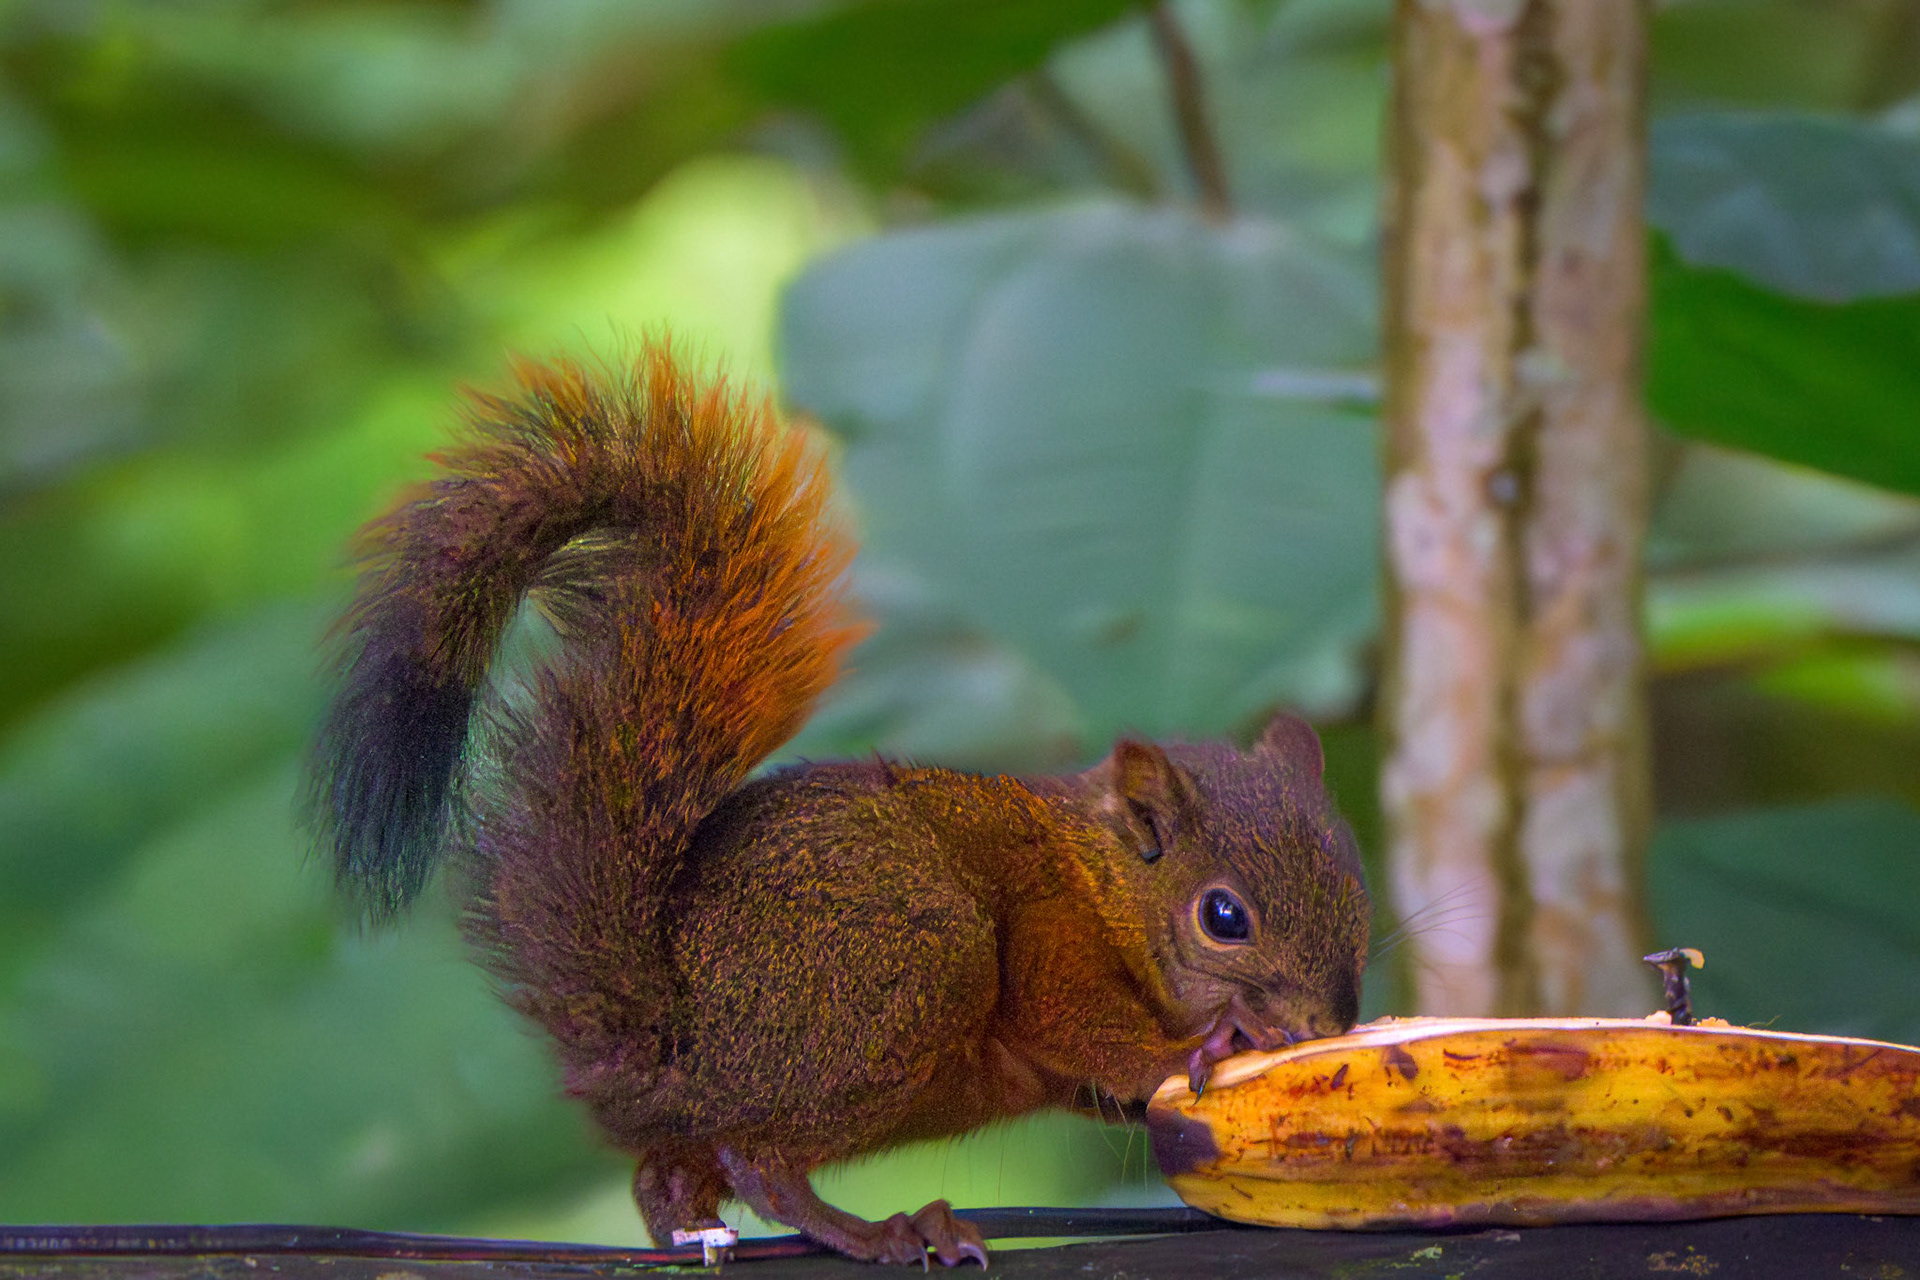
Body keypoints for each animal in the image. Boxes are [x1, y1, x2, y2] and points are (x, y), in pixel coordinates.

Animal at [307, 344, 1371, 1267]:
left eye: (1359, 896)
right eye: (1223, 917)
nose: (1325, 1025)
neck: (1102, 883)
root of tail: (660, 1032)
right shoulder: (1049, 938)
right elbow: (1087, 1032)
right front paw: (1214, 1041)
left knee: (670, 1175)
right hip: (911, 966)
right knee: (758, 1159)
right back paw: (877, 1232)